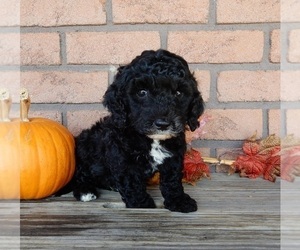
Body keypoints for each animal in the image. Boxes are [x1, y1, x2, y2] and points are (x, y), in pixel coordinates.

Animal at [73, 49, 204, 213]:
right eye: (142, 92)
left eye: (178, 93)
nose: (163, 124)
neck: (152, 140)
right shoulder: (124, 159)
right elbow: (132, 183)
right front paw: (141, 205)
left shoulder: (173, 156)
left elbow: (172, 180)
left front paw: (179, 200)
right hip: (86, 147)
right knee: (80, 173)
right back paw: (85, 191)